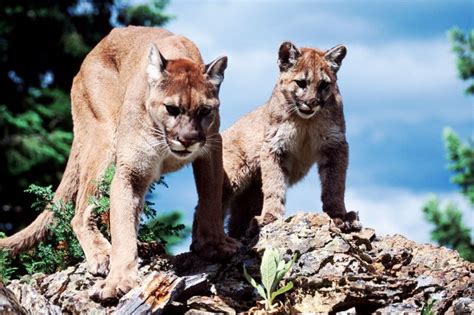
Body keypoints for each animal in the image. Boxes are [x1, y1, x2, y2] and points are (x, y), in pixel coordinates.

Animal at [0, 26, 237, 302]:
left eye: (205, 111)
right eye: (172, 108)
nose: (187, 140)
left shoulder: (212, 147)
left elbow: (211, 200)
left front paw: (216, 244)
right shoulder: (130, 172)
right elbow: (122, 229)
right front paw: (118, 281)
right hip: (103, 138)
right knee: (81, 212)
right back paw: (104, 255)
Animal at [220, 41, 362, 237]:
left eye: (324, 84)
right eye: (301, 83)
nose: (311, 102)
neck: (305, 121)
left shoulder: (335, 144)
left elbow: (335, 184)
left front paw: (339, 215)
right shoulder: (275, 145)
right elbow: (274, 184)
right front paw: (270, 216)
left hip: (250, 197)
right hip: (231, 176)